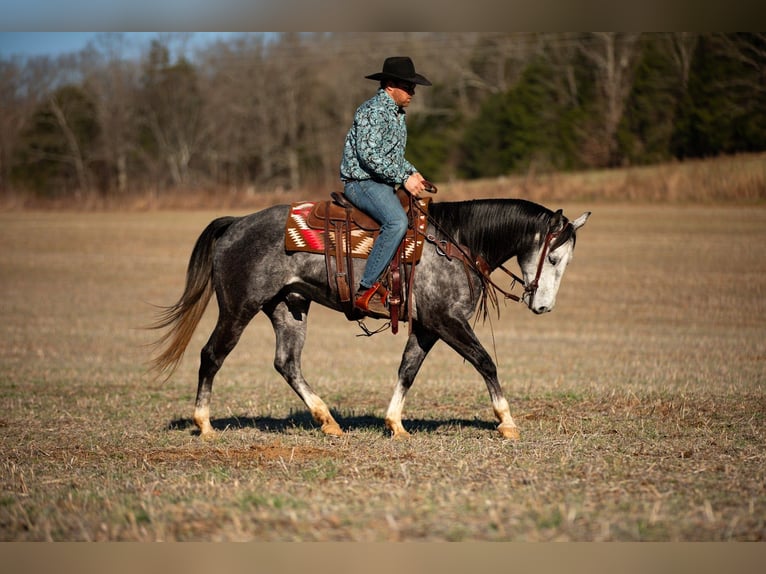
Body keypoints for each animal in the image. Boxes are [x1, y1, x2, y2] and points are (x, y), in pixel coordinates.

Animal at [149, 197, 590, 439]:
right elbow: (485, 362)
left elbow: (408, 369)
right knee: (211, 355)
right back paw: (205, 425)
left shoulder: (427, 326)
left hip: (288, 307)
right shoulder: (447, 321)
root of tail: (235, 224)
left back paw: (327, 420)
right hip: (238, 308)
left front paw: (394, 423)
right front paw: (507, 422)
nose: (543, 307)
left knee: (286, 363)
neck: (457, 243)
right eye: (553, 258)